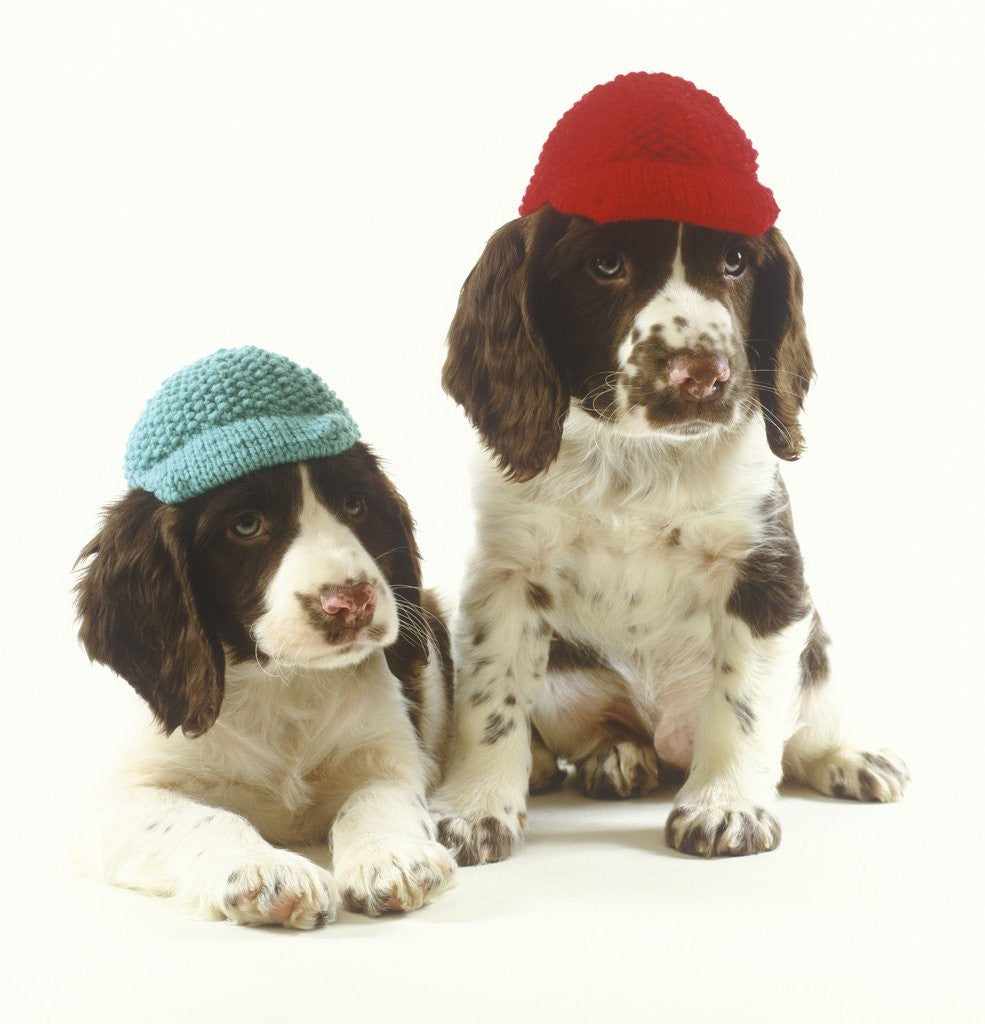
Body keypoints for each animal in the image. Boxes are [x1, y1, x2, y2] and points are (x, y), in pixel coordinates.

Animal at [75, 346, 452, 929]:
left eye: (356, 505)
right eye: (247, 525)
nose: (353, 601)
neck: (283, 681)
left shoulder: (391, 755)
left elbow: (374, 798)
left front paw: (392, 856)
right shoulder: (113, 800)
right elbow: (201, 818)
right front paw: (264, 870)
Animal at [430, 70, 905, 864]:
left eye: (737, 262)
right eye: (605, 264)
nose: (703, 375)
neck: (638, 458)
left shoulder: (767, 572)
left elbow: (743, 700)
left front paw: (726, 807)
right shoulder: (504, 574)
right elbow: (491, 701)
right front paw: (474, 809)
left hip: (814, 652)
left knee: (806, 719)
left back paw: (848, 757)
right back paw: (610, 756)